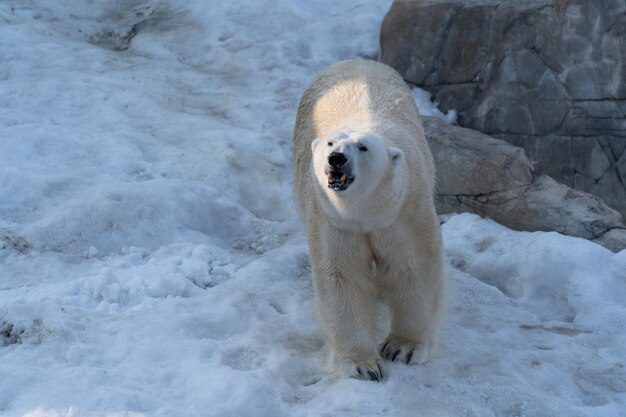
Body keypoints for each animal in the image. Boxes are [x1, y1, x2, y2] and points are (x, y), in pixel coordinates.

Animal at [292, 59, 444, 380]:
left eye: (363, 147)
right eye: (330, 143)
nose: (336, 158)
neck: (366, 212)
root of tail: (357, 61)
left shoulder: (405, 210)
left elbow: (414, 265)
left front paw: (403, 348)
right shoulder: (333, 219)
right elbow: (343, 276)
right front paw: (363, 365)